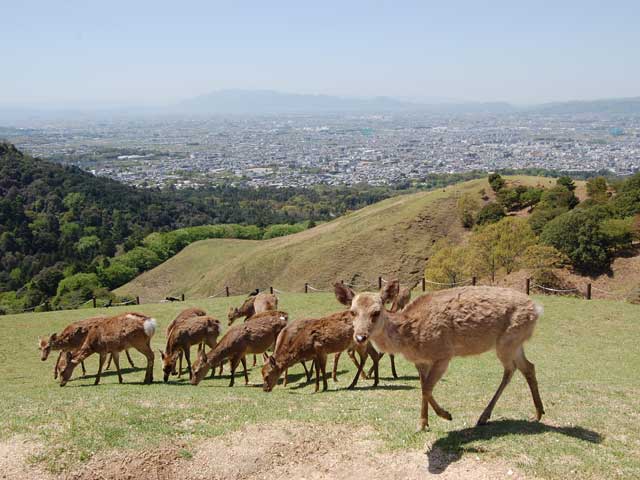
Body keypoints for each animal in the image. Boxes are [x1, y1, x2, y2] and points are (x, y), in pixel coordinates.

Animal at [336, 280, 544, 430]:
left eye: (376, 312)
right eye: (352, 312)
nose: (360, 336)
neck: (408, 338)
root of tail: (537, 308)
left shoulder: (443, 354)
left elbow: (427, 389)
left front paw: (446, 415)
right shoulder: (420, 361)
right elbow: (423, 388)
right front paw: (422, 424)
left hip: (508, 341)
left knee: (511, 369)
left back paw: (484, 416)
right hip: (515, 343)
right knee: (528, 367)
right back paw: (537, 413)